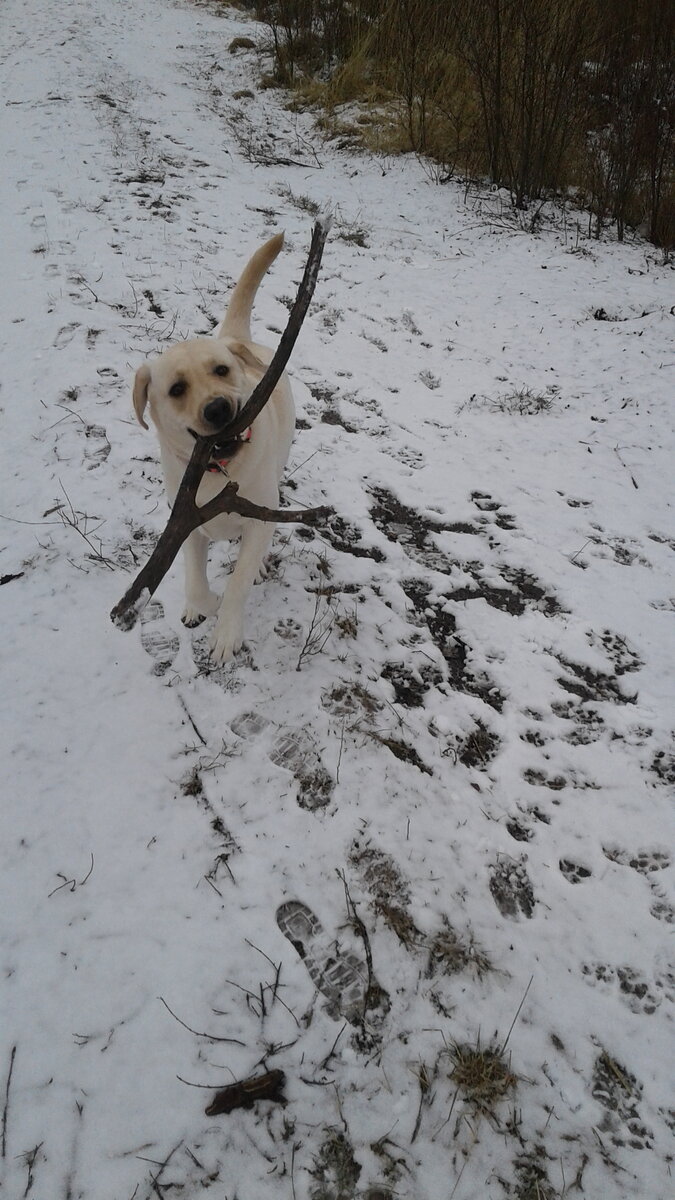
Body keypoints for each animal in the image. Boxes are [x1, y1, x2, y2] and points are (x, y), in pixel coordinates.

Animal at [131, 231, 291, 667]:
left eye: (221, 370)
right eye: (177, 389)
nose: (218, 408)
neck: (219, 471)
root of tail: (235, 339)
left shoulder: (256, 519)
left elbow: (238, 582)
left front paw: (226, 631)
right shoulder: (186, 525)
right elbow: (195, 581)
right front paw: (204, 605)